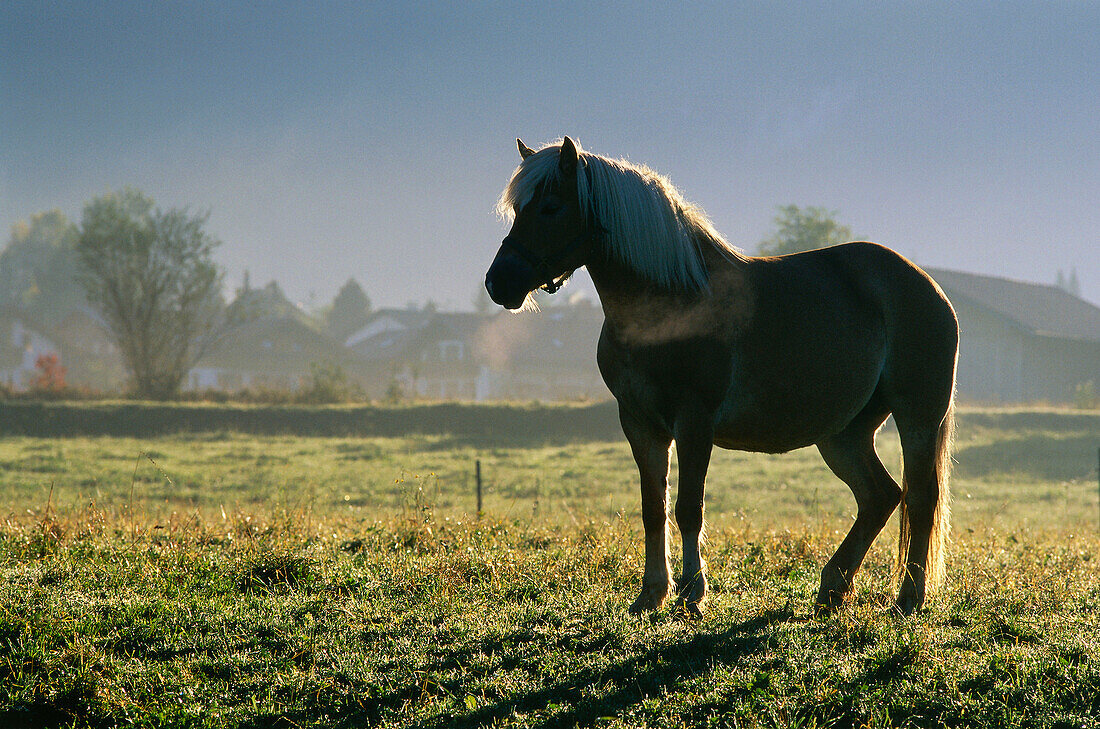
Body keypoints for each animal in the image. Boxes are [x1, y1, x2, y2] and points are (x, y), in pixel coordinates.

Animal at [486, 136, 959, 615]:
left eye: (550, 207)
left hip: (918, 417)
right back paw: (832, 588)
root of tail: (928, 286)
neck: (668, 305)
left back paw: (909, 597)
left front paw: (691, 593)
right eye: (518, 208)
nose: (498, 282)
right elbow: (653, 508)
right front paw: (652, 592)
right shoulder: (640, 423)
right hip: (844, 433)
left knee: (920, 499)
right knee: (879, 496)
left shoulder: (695, 421)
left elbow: (688, 508)